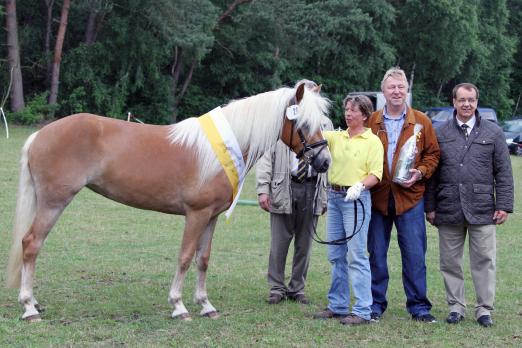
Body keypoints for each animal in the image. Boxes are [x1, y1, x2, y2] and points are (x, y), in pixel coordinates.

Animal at [5, 81, 330, 320]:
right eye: (302, 123)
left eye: (323, 123)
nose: (324, 162)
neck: (225, 148)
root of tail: (39, 135)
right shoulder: (196, 214)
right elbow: (185, 257)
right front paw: (179, 306)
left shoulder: (211, 216)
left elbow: (203, 259)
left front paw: (206, 305)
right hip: (53, 203)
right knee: (31, 244)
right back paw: (30, 308)